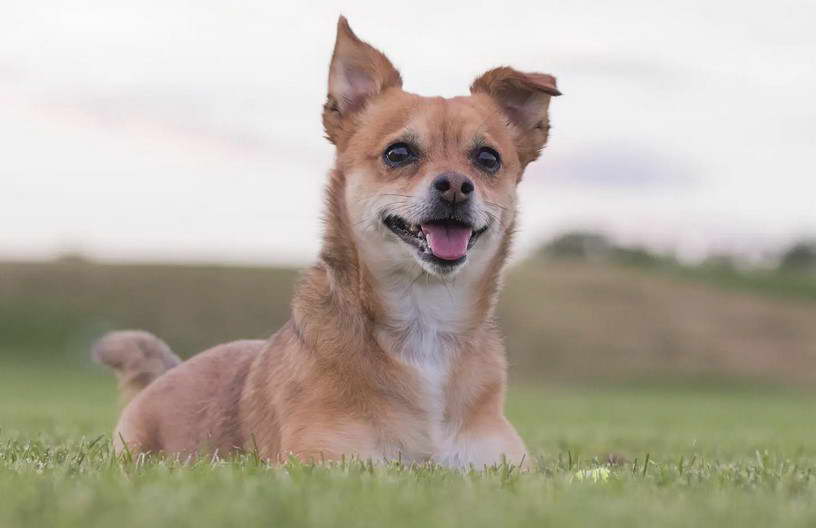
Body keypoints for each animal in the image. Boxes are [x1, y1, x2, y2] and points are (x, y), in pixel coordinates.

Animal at [92, 16, 556, 468]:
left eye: (487, 159)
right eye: (398, 153)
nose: (456, 186)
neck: (425, 321)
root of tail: (166, 374)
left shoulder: (500, 467)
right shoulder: (325, 463)